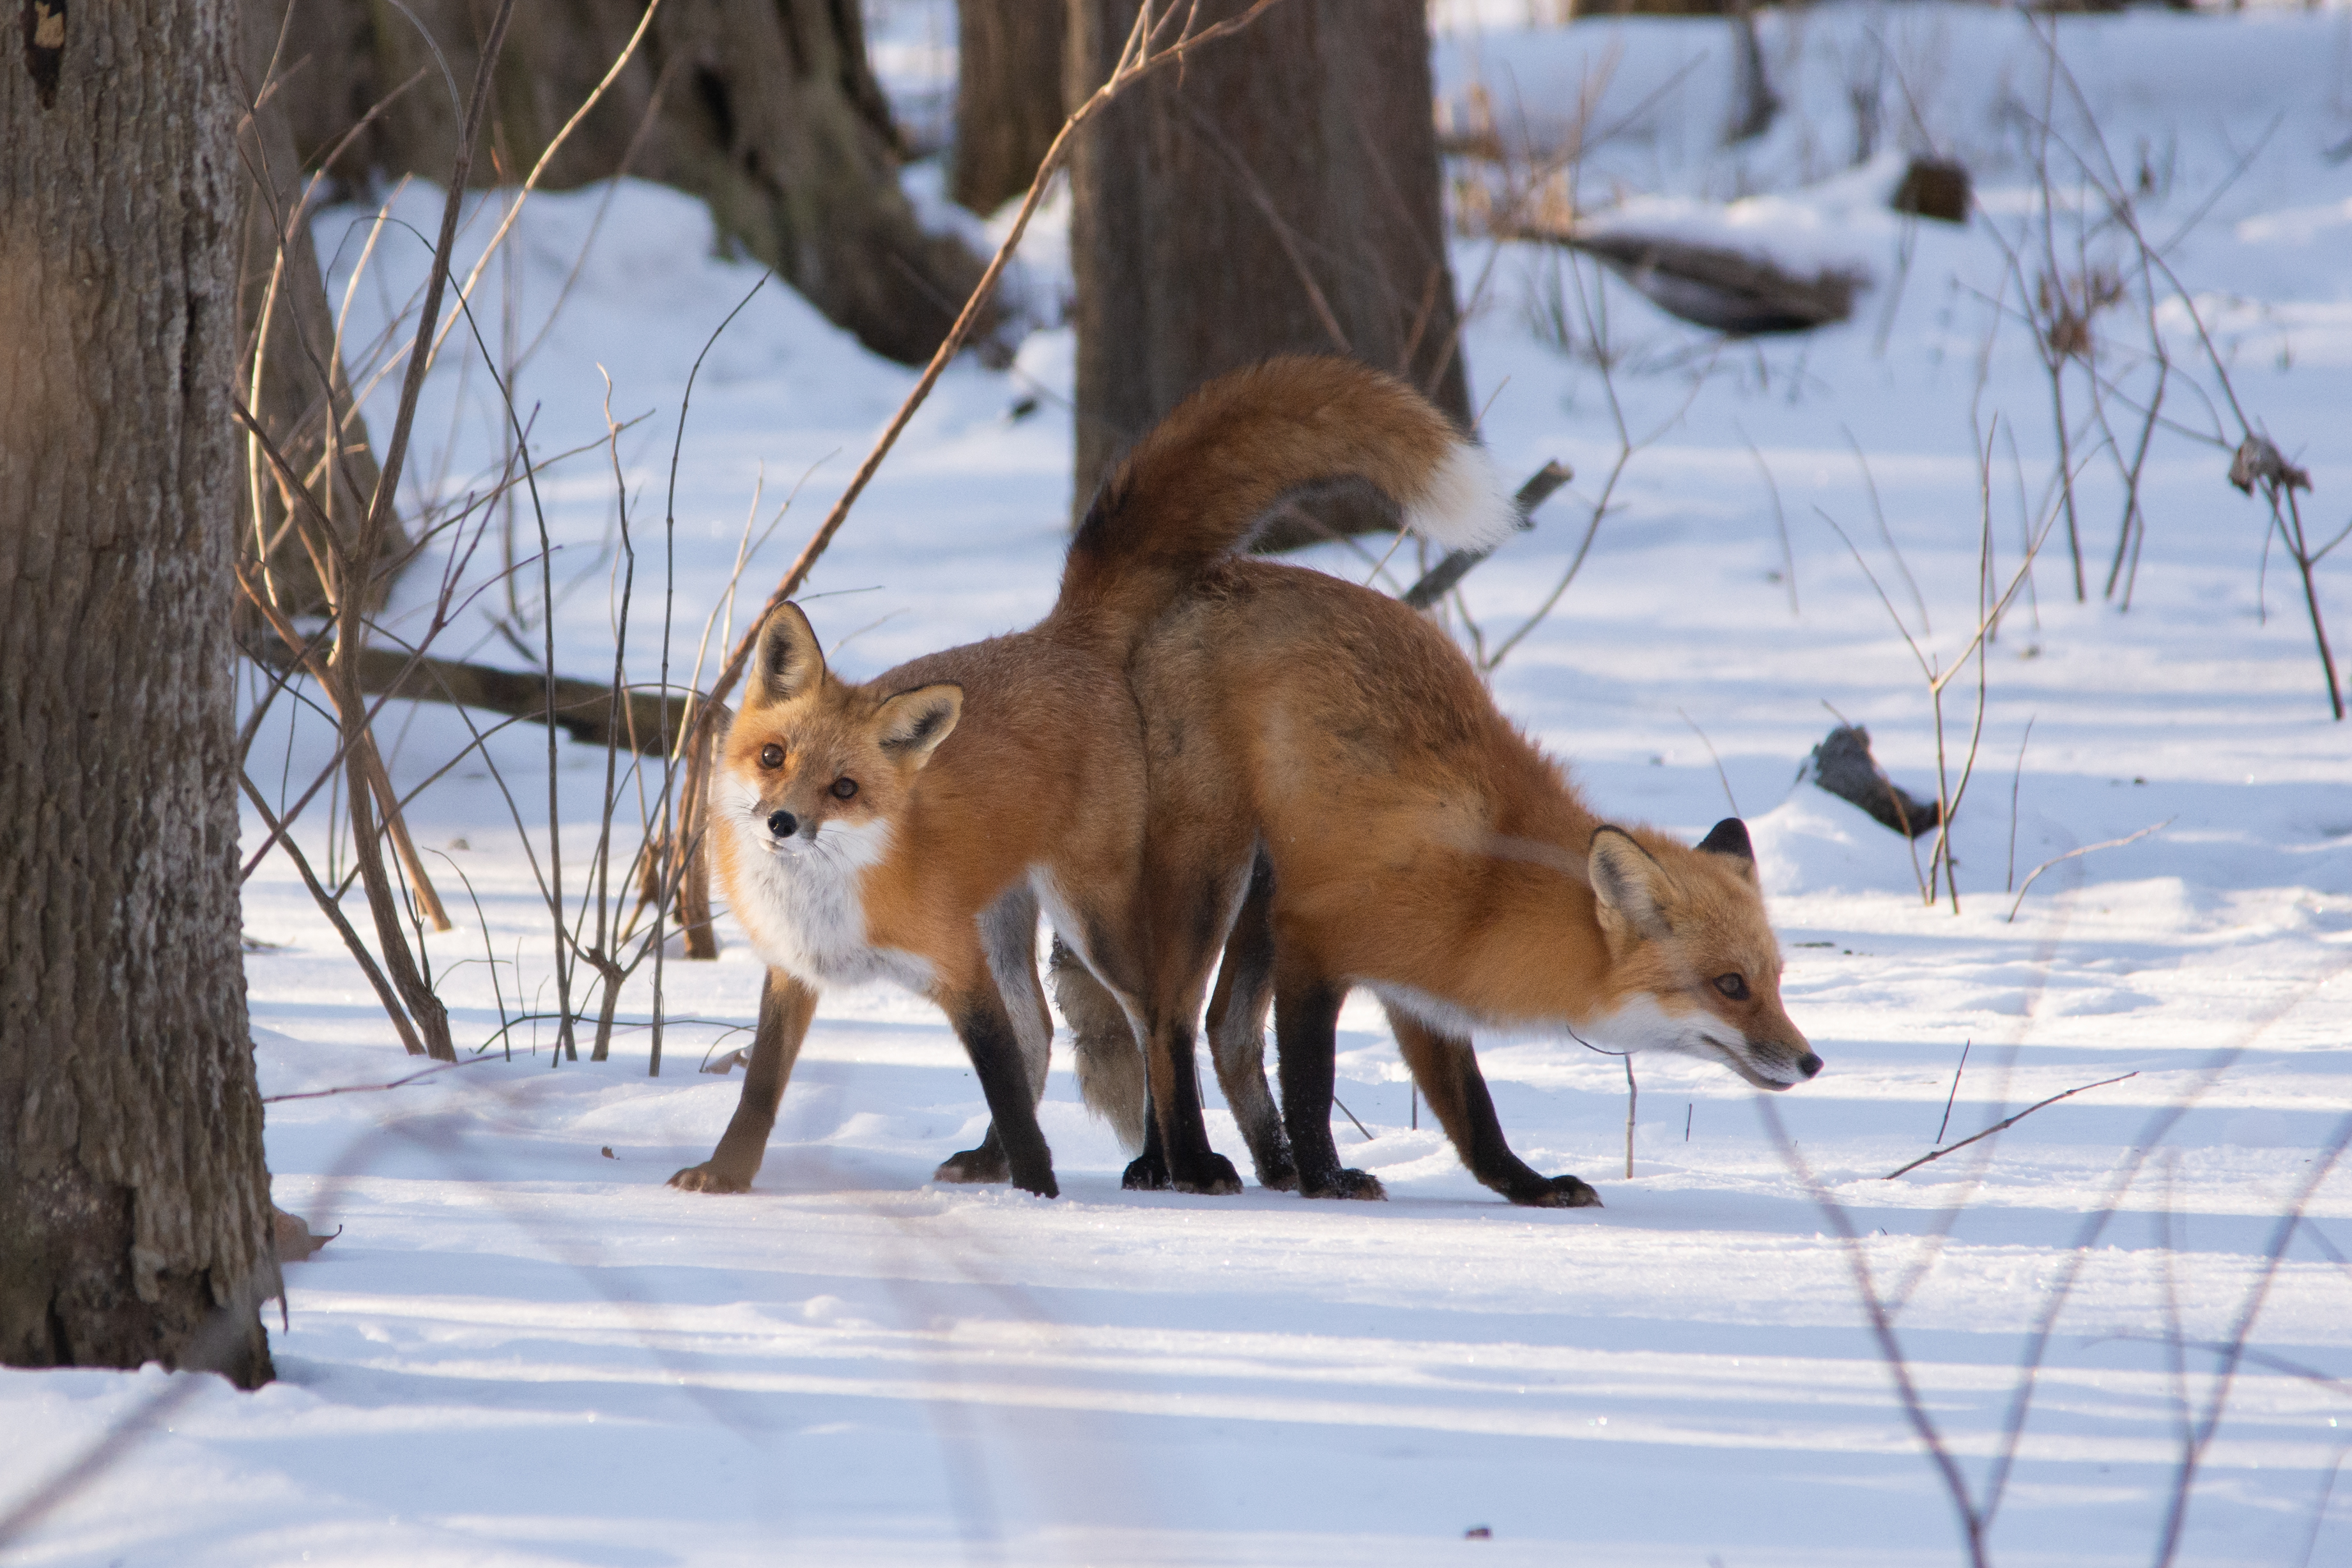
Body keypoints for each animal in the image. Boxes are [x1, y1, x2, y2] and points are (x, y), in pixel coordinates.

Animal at [667, 357, 1520, 1200]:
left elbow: (1011, 1093)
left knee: (1155, 1021)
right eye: (773, 757)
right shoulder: (792, 974)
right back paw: (1007, 1165)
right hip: (1009, 923)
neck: (831, 900)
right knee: (1047, 1033)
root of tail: (1064, 633)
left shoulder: (961, 974)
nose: (780, 823)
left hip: (1092, 917)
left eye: (843, 789)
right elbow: (760, 1092)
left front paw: (1041, 1198)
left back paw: (1183, 1164)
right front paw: (726, 1175)